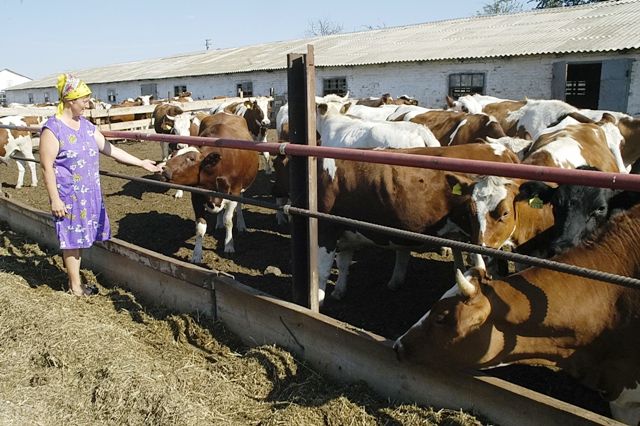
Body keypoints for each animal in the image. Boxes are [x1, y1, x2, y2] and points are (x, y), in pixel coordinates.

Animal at [159, 112, 258, 260]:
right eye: (173, 155)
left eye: (191, 159)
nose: (163, 169)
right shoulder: (197, 195)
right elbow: (200, 227)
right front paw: (196, 254)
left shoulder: (233, 193)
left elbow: (228, 220)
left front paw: (229, 245)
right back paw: (218, 223)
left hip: (241, 188)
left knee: (239, 207)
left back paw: (241, 225)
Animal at [316, 141, 520, 304]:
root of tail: (501, 149)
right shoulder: (344, 231)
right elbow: (343, 264)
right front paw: (338, 292)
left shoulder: (325, 230)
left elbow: (321, 273)